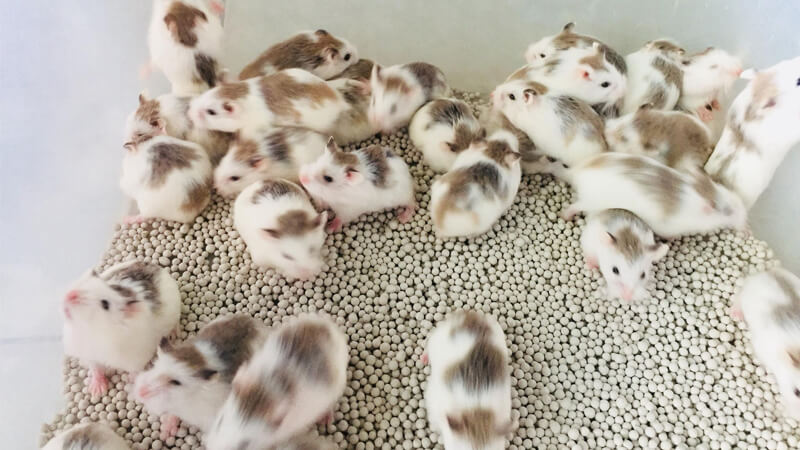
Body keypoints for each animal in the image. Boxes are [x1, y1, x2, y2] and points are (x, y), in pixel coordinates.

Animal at [62, 261, 181, 397]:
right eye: (86, 284)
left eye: (105, 304)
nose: (70, 295)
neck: (95, 332)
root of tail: (157, 267)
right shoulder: (88, 355)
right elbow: (95, 368)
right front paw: (98, 390)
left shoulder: (136, 357)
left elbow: (134, 371)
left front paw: (132, 383)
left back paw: (174, 335)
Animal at [133, 314, 268, 439]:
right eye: (155, 366)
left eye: (176, 382)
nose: (140, 393)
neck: (184, 401)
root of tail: (257, 323)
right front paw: (165, 433)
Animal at [562, 153, 747, 238]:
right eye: (728, 211)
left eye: (720, 186)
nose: (744, 212)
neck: (696, 193)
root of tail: (578, 170)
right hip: (591, 201)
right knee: (575, 206)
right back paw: (566, 215)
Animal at [731, 268, 800, 418]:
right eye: (796, 392)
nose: (795, 418)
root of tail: (767, 271)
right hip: (746, 292)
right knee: (738, 296)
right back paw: (735, 313)